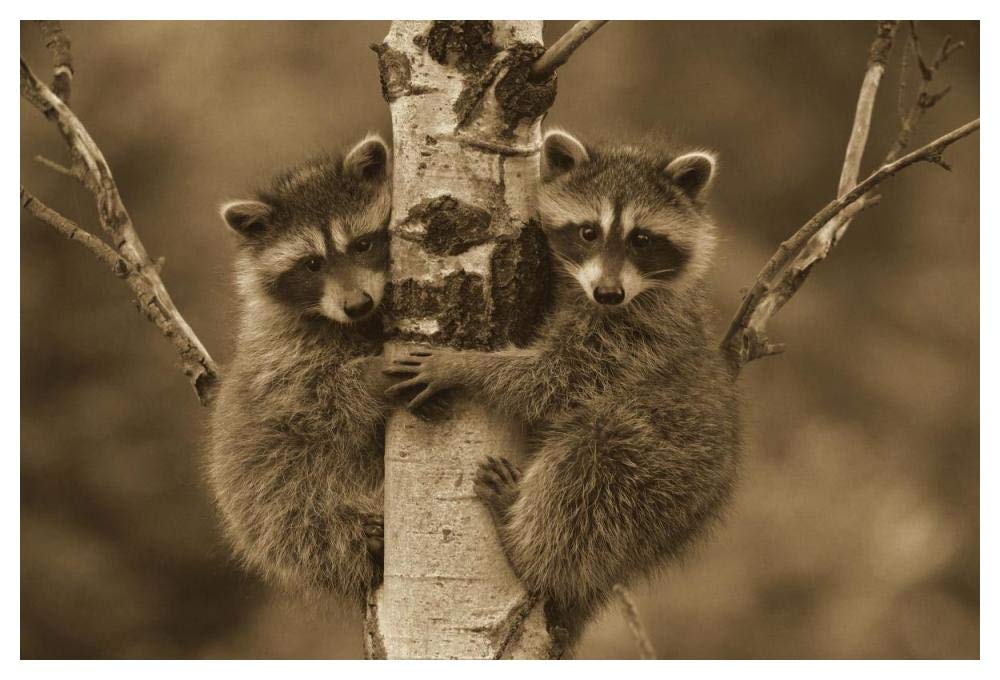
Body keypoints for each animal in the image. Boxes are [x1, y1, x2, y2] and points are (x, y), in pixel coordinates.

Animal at [208, 134, 394, 606]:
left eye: (362, 245)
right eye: (312, 264)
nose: (357, 304)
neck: (356, 324)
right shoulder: (281, 356)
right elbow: (314, 403)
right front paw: (370, 376)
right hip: (271, 504)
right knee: (302, 518)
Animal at [385, 130, 742, 645]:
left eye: (642, 239)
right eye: (588, 232)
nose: (609, 293)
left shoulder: (633, 339)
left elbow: (555, 379)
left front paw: (464, 365)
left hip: (661, 472)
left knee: (590, 463)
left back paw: (524, 544)